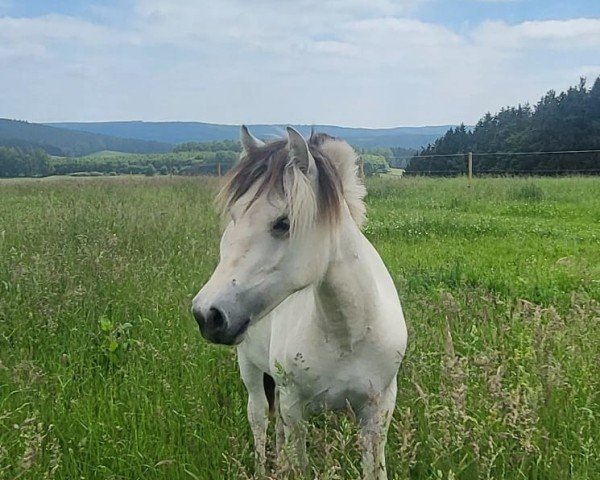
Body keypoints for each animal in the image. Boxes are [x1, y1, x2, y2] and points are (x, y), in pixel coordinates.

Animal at [192, 125, 408, 478]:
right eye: (235, 216)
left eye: (283, 223)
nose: (206, 315)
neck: (346, 335)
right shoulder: (296, 407)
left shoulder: (379, 408)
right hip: (250, 368)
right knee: (259, 420)